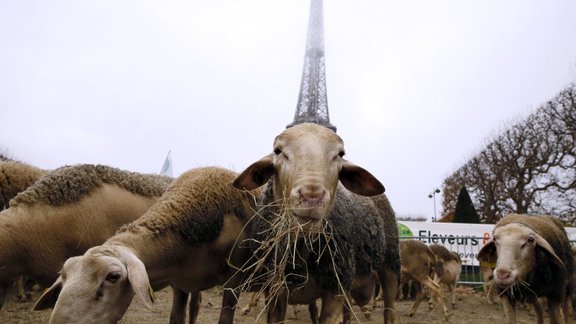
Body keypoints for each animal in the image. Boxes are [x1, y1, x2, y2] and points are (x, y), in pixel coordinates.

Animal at [231, 122, 400, 324]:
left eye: (340, 154)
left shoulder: (335, 289)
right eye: (278, 151)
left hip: (390, 261)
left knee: (389, 310)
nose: (312, 197)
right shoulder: (274, 291)